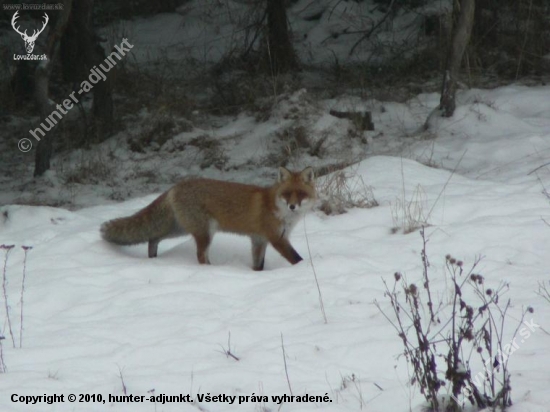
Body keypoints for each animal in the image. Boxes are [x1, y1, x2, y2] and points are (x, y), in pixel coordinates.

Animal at [101, 167, 316, 270]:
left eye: (300, 194)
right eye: (287, 194)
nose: (293, 206)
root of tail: (174, 187)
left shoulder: (258, 240)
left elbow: (258, 265)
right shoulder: (276, 238)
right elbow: (296, 258)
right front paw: (306, 268)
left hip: (179, 229)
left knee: (153, 237)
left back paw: (152, 258)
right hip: (205, 232)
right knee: (200, 257)